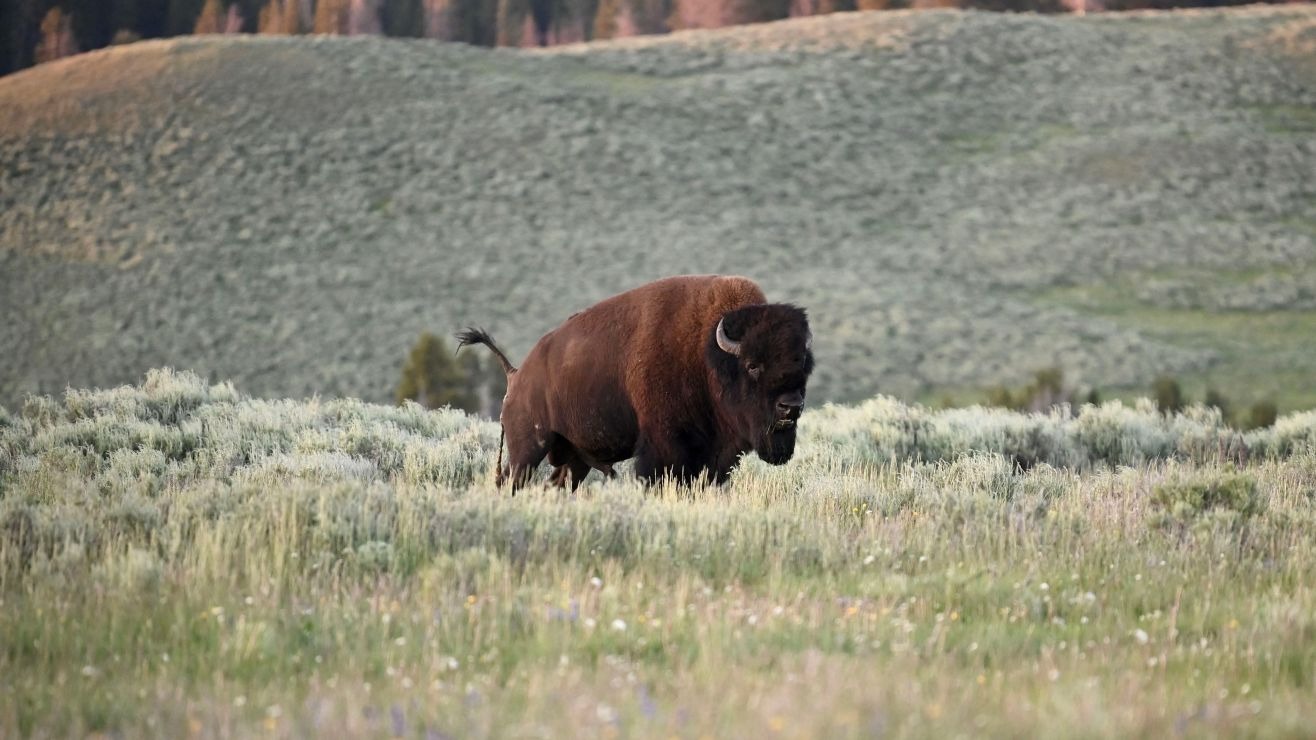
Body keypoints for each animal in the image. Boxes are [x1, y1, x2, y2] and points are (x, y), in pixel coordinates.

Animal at [460, 272, 810, 489]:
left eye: (804, 365)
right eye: (752, 365)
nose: (791, 406)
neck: (707, 352)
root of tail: (517, 374)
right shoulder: (663, 449)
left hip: (573, 458)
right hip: (528, 448)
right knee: (513, 481)